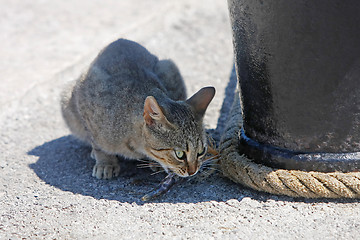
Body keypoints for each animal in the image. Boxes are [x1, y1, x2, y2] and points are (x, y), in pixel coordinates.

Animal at [60, 38, 215, 179]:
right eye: (180, 154)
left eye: (201, 152)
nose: (193, 171)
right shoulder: (86, 100)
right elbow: (97, 143)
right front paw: (105, 162)